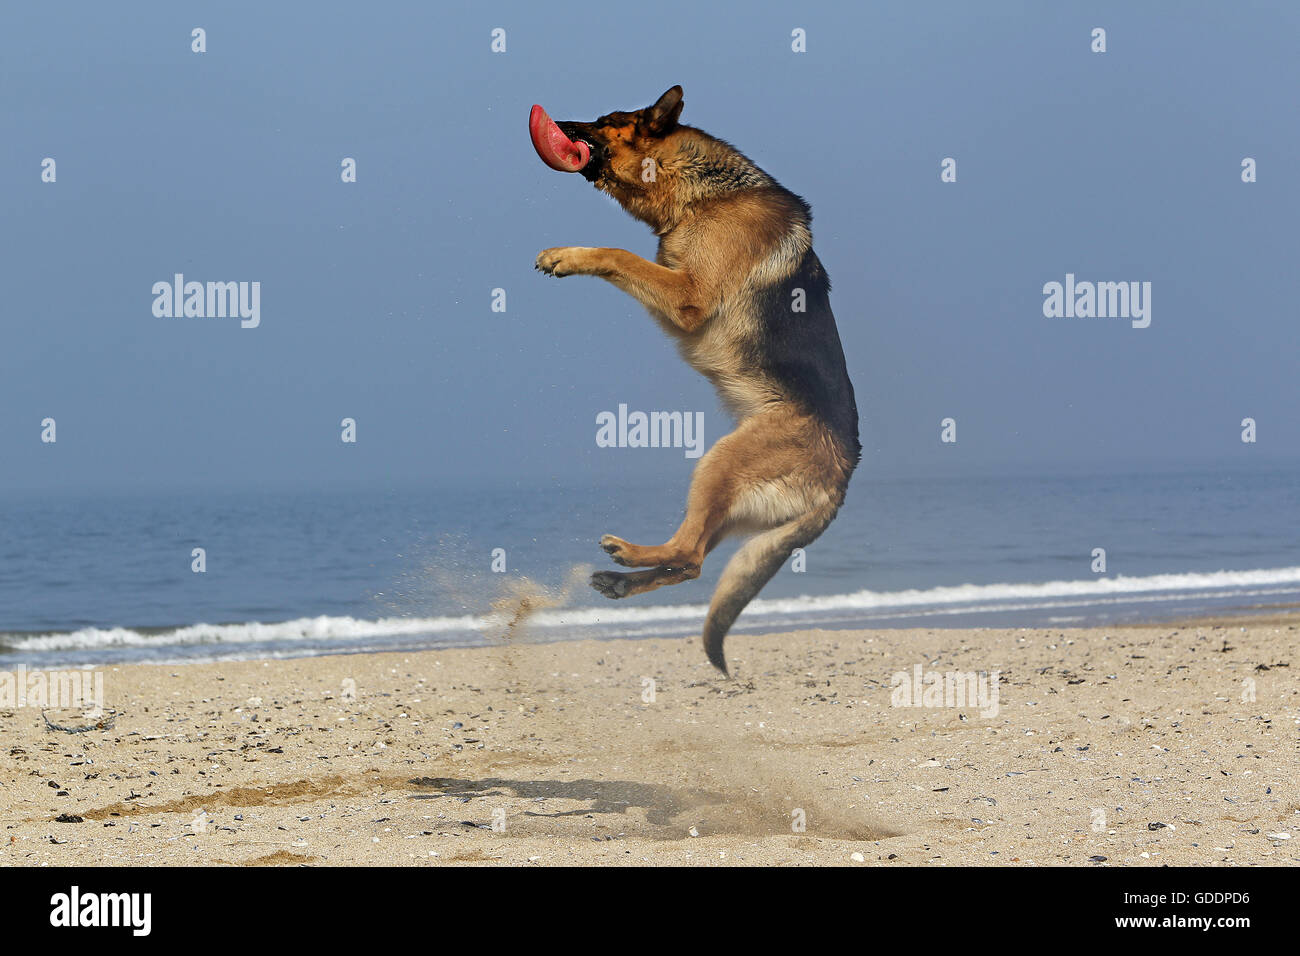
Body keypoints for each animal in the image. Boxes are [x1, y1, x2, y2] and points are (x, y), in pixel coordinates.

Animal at [533, 87, 857, 671]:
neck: (702, 195)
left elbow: (618, 254)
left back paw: (627, 554)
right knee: (694, 562)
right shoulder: (675, 299)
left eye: (605, 120)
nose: (558, 124)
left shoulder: (686, 296)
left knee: (687, 552)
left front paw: (565, 256)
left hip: (719, 463)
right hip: (725, 497)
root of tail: (840, 482)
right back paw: (621, 580)